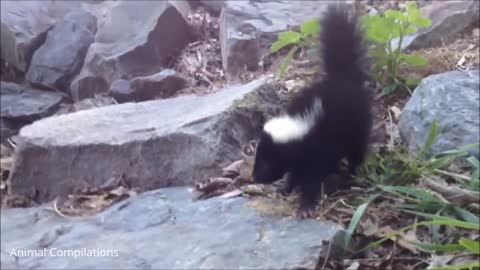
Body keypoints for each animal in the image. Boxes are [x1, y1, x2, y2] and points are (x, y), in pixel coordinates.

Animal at [251, 4, 372, 219]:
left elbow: (311, 179)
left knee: (357, 149)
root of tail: (342, 77)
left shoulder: (316, 150)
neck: (300, 126)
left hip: (358, 123)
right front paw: (287, 187)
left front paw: (305, 206)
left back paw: (350, 174)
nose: (254, 177)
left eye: (266, 162)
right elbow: (295, 172)